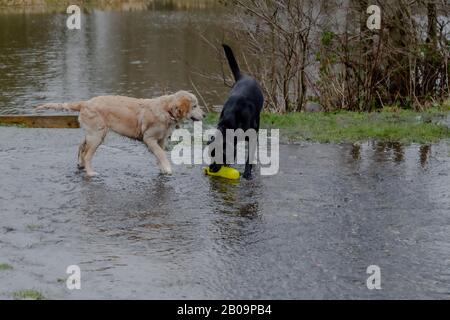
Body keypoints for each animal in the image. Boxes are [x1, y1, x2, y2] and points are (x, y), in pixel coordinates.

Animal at [36, 90, 203, 178]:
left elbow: (159, 155)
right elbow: (161, 154)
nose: (205, 115)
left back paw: (80, 164)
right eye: (195, 106)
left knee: (81, 147)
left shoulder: (161, 140)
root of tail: (85, 103)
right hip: (97, 136)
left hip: (92, 133)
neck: (167, 110)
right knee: (87, 154)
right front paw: (168, 169)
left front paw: (162, 168)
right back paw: (90, 172)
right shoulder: (149, 138)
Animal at [210, 44, 264, 180]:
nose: (211, 168)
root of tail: (243, 76)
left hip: (257, 120)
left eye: (220, 156)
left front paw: (247, 172)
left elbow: (249, 156)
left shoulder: (251, 135)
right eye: (210, 154)